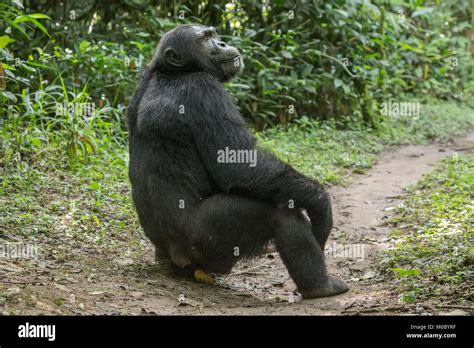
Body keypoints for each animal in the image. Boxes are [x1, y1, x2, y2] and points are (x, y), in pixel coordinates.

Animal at [128, 24, 350, 298]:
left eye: (212, 34)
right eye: (205, 39)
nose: (222, 43)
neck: (176, 71)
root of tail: (174, 256)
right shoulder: (204, 91)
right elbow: (237, 165)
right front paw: (321, 204)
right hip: (206, 238)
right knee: (280, 213)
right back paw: (321, 286)